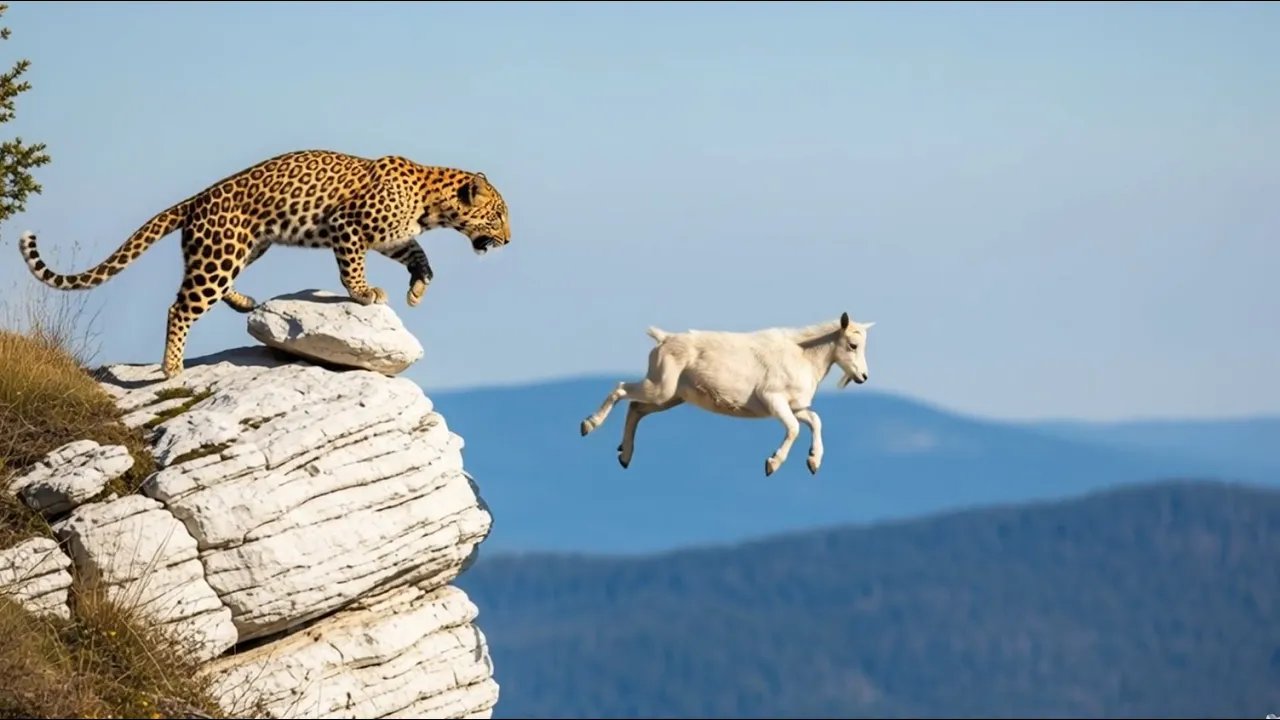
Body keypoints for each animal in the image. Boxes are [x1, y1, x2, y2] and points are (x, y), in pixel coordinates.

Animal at [17, 148, 512, 379]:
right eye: (498, 215)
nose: (508, 240)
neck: (431, 205)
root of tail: (195, 199)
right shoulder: (347, 225)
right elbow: (352, 267)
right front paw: (363, 292)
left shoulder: (394, 237)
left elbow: (419, 255)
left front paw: (418, 287)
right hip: (220, 253)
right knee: (181, 306)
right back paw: (172, 367)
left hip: (242, 248)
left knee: (207, 289)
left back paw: (243, 301)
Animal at [579, 312, 875, 476]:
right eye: (852, 344)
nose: (862, 377)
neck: (803, 354)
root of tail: (663, 339)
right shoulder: (774, 401)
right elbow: (794, 428)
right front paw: (771, 465)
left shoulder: (796, 407)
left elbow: (814, 421)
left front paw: (813, 462)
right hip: (660, 387)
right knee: (622, 389)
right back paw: (588, 425)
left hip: (670, 397)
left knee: (636, 408)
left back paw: (625, 456)